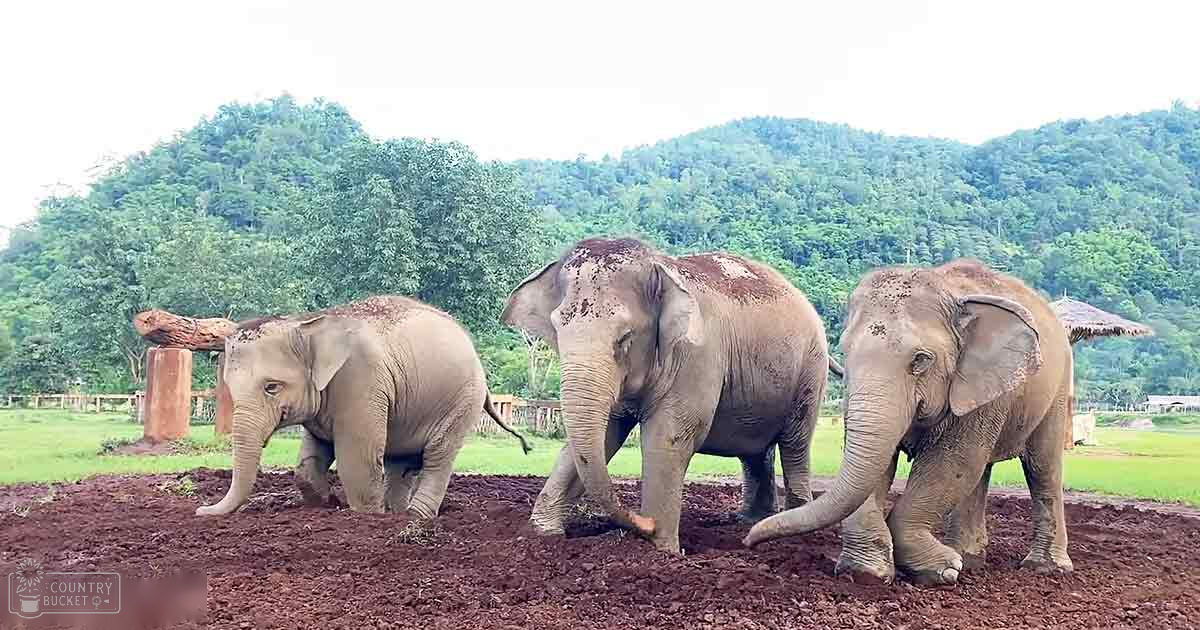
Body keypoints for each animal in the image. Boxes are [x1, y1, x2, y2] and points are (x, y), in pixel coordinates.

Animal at [195, 295, 530, 519]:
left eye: (271, 387)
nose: (200, 510)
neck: (309, 322)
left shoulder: (360, 380)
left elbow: (357, 459)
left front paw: (367, 516)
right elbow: (309, 461)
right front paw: (328, 503)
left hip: (461, 401)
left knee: (438, 457)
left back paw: (415, 517)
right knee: (401, 462)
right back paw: (397, 511)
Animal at [502, 237, 834, 553]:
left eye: (625, 337)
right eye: (556, 330)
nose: (644, 523)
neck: (661, 265)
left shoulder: (697, 357)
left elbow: (668, 437)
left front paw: (661, 549)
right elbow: (605, 434)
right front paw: (543, 534)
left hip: (811, 370)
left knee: (794, 444)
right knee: (755, 451)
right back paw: (751, 520)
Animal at [744, 259, 1074, 585]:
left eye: (921, 359)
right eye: (845, 352)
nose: (748, 542)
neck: (949, 290)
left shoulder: (982, 391)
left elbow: (952, 462)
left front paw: (944, 570)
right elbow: (880, 461)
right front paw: (866, 572)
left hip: (1058, 387)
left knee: (1042, 467)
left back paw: (1044, 567)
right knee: (981, 473)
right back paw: (970, 559)